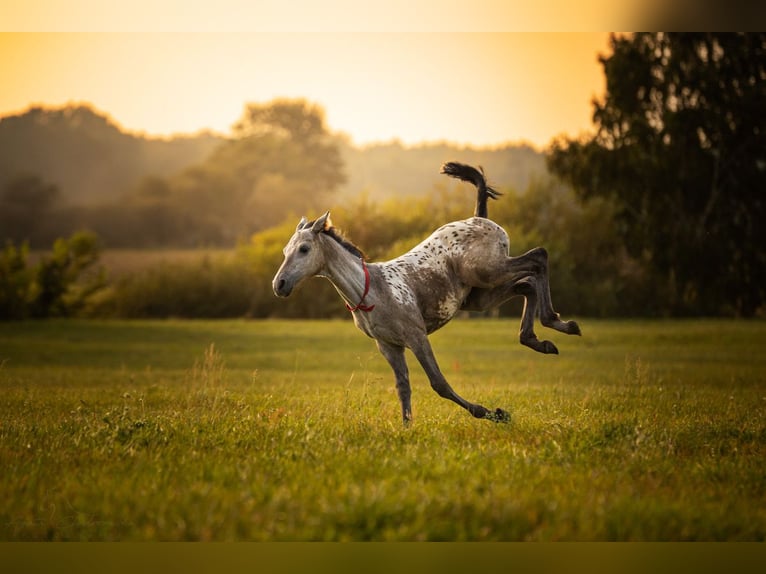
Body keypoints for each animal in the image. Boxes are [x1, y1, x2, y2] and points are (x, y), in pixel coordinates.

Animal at [272, 162, 581, 424]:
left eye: (304, 249)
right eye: (286, 249)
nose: (280, 284)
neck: (372, 293)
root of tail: (479, 217)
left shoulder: (416, 336)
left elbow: (438, 382)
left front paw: (494, 413)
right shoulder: (389, 346)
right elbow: (403, 387)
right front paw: (406, 429)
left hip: (489, 271)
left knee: (538, 258)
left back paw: (559, 323)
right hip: (480, 296)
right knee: (527, 284)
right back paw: (539, 340)